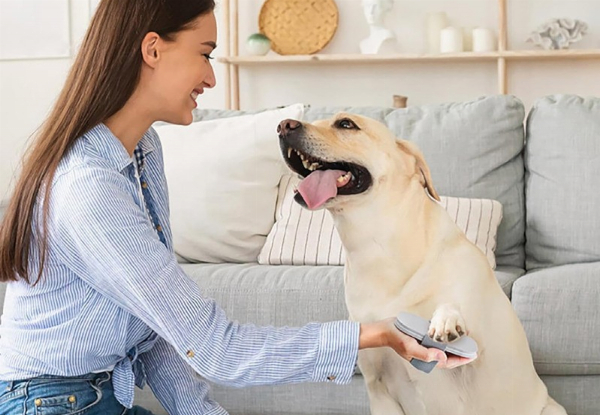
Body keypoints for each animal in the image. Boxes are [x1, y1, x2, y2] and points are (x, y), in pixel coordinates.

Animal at [276, 114, 568, 415]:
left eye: (346, 124)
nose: (284, 125)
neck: (378, 248)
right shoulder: (378, 388)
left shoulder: (484, 359)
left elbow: (455, 312)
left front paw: (447, 320)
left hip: (550, 409)